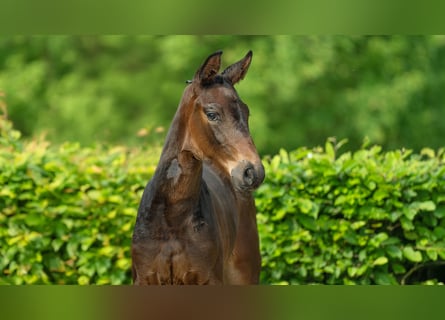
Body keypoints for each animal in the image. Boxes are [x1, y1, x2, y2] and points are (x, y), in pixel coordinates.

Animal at [131, 50, 264, 284]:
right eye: (212, 114)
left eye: (246, 112)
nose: (253, 172)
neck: (172, 219)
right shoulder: (145, 278)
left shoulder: (208, 278)